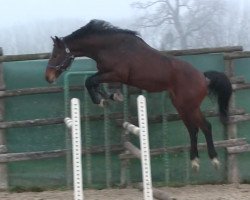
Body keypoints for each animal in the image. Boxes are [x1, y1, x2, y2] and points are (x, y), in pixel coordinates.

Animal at [45, 19, 232, 170]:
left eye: (56, 54)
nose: (48, 77)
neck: (110, 47)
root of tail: (203, 77)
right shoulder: (107, 74)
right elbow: (95, 82)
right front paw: (109, 97)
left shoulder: (116, 74)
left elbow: (90, 81)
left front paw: (100, 100)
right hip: (182, 106)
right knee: (194, 129)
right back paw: (195, 161)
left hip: (189, 106)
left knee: (205, 126)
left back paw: (214, 160)